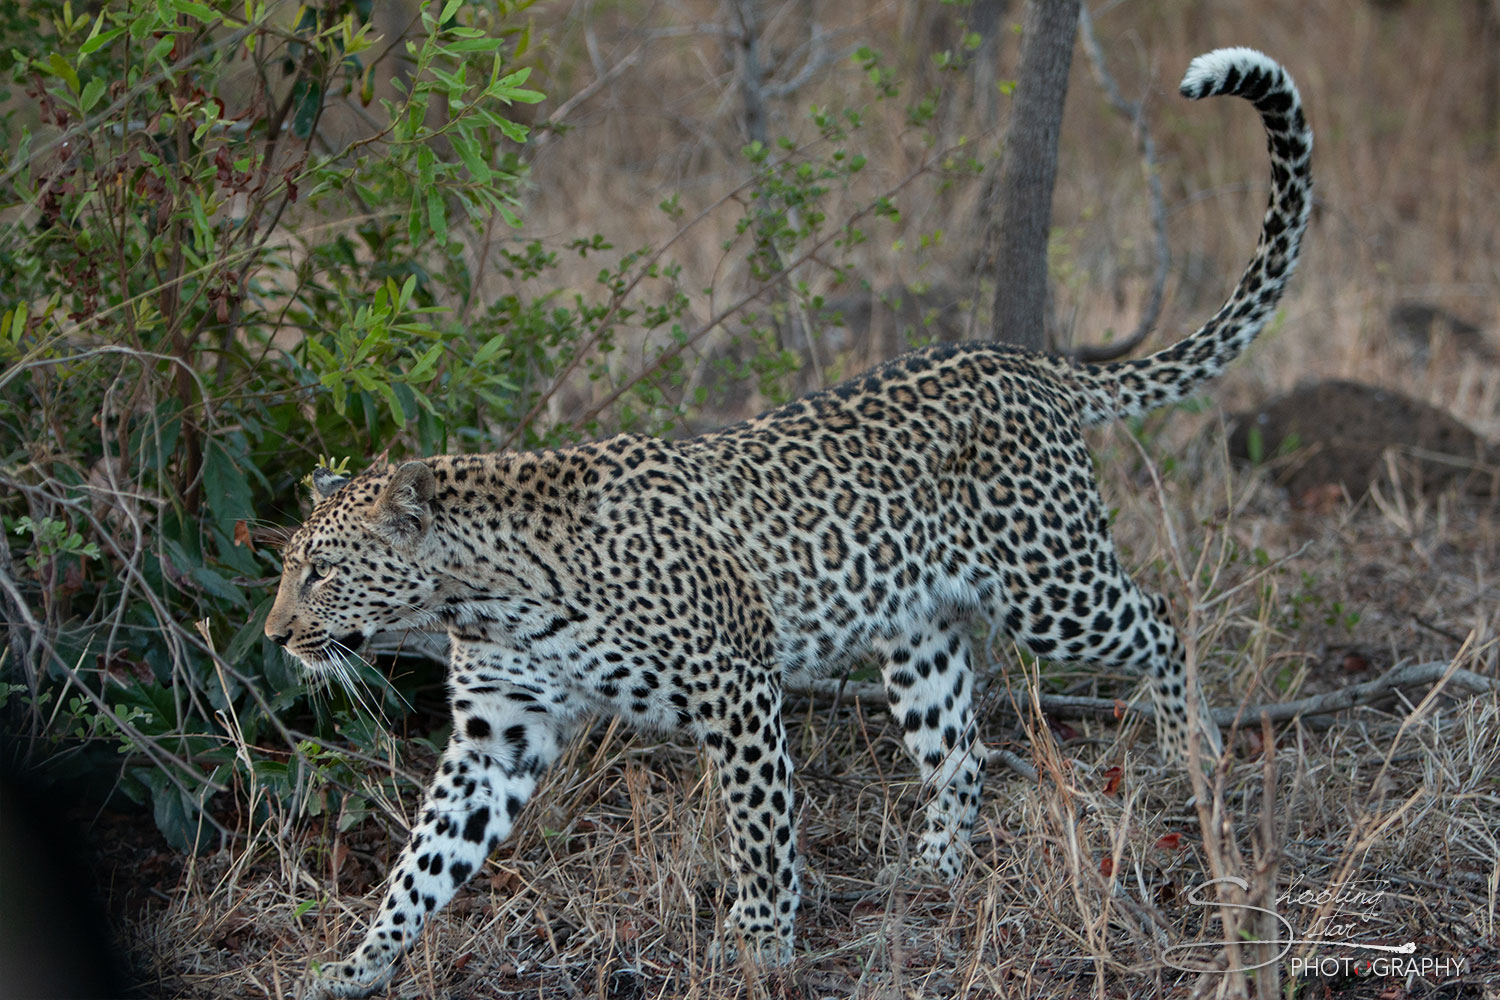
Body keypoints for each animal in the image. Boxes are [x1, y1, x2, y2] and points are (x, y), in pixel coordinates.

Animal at [265, 47, 1311, 999]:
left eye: (321, 570)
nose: (275, 635)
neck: (484, 598)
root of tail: (1029, 361)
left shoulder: (737, 689)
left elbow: (760, 830)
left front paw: (761, 946)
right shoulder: (496, 738)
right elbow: (421, 866)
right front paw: (353, 966)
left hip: (1051, 585)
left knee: (1163, 618)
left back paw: (1196, 757)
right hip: (918, 637)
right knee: (960, 752)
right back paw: (932, 872)